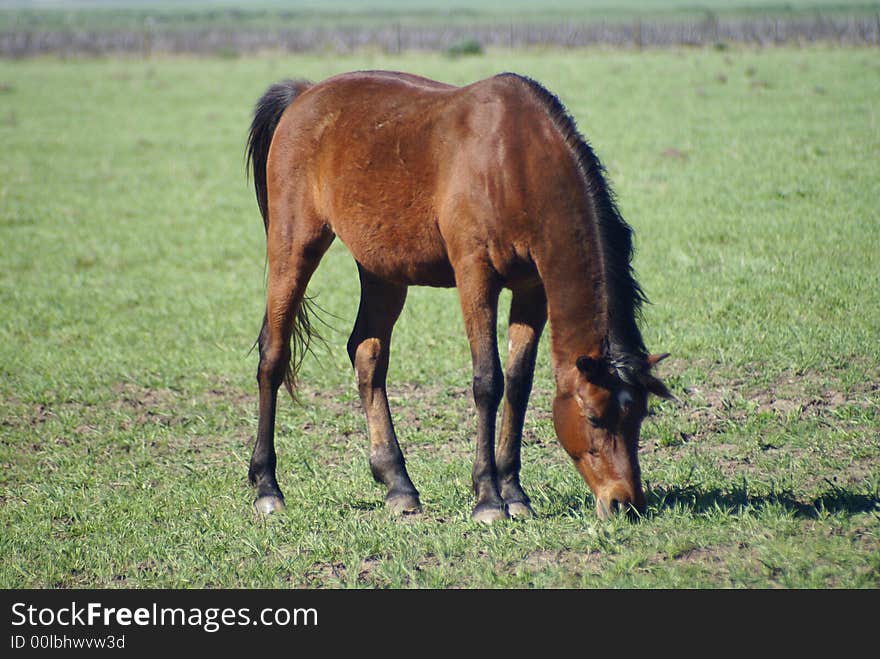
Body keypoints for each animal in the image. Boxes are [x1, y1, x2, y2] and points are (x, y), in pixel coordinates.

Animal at [244, 72, 672, 524]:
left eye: (639, 415)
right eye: (593, 415)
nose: (625, 502)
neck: (513, 160)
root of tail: (305, 94)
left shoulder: (532, 290)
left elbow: (518, 385)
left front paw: (515, 493)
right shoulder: (475, 276)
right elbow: (488, 381)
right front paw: (488, 498)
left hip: (382, 271)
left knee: (366, 354)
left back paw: (398, 484)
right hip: (294, 246)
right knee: (273, 357)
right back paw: (267, 487)